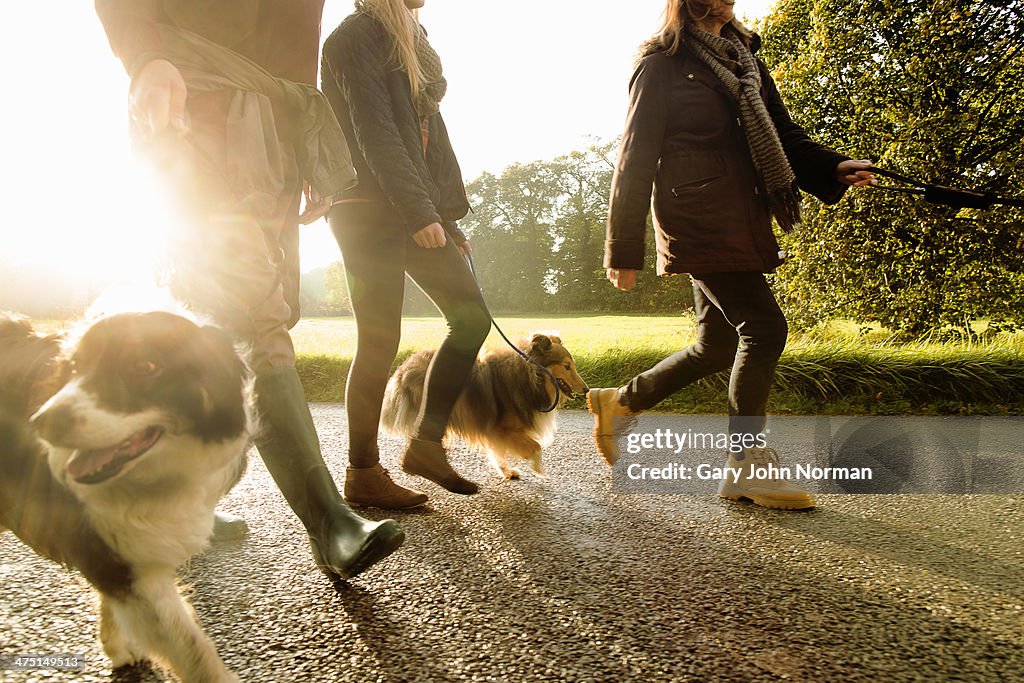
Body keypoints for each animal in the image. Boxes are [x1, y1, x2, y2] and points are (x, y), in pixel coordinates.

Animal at [1, 311, 252, 683]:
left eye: (144, 366)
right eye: (75, 366)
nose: (41, 423)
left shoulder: (124, 546)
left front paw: (115, 645)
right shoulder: (116, 557)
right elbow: (192, 648)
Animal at [380, 333, 589, 479]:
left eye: (573, 364)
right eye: (566, 366)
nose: (587, 389)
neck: (530, 376)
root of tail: (404, 367)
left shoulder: (494, 431)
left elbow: (497, 452)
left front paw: (507, 472)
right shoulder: (502, 429)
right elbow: (536, 447)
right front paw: (538, 469)